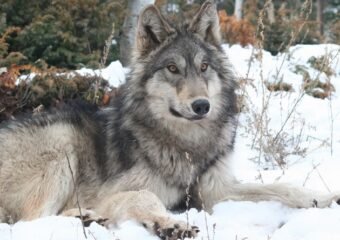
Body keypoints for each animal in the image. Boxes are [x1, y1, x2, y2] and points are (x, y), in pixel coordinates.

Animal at [0, 1, 340, 238]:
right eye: (173, 69)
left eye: (204, 67)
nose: (201, 105)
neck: (187, 145)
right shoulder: (110, 193)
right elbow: (147, 197)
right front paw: (171, 224)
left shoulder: (215, 191)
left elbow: (283, 187)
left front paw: (322, 199)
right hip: (61, 143)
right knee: (33, 220)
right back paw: (88, 218)